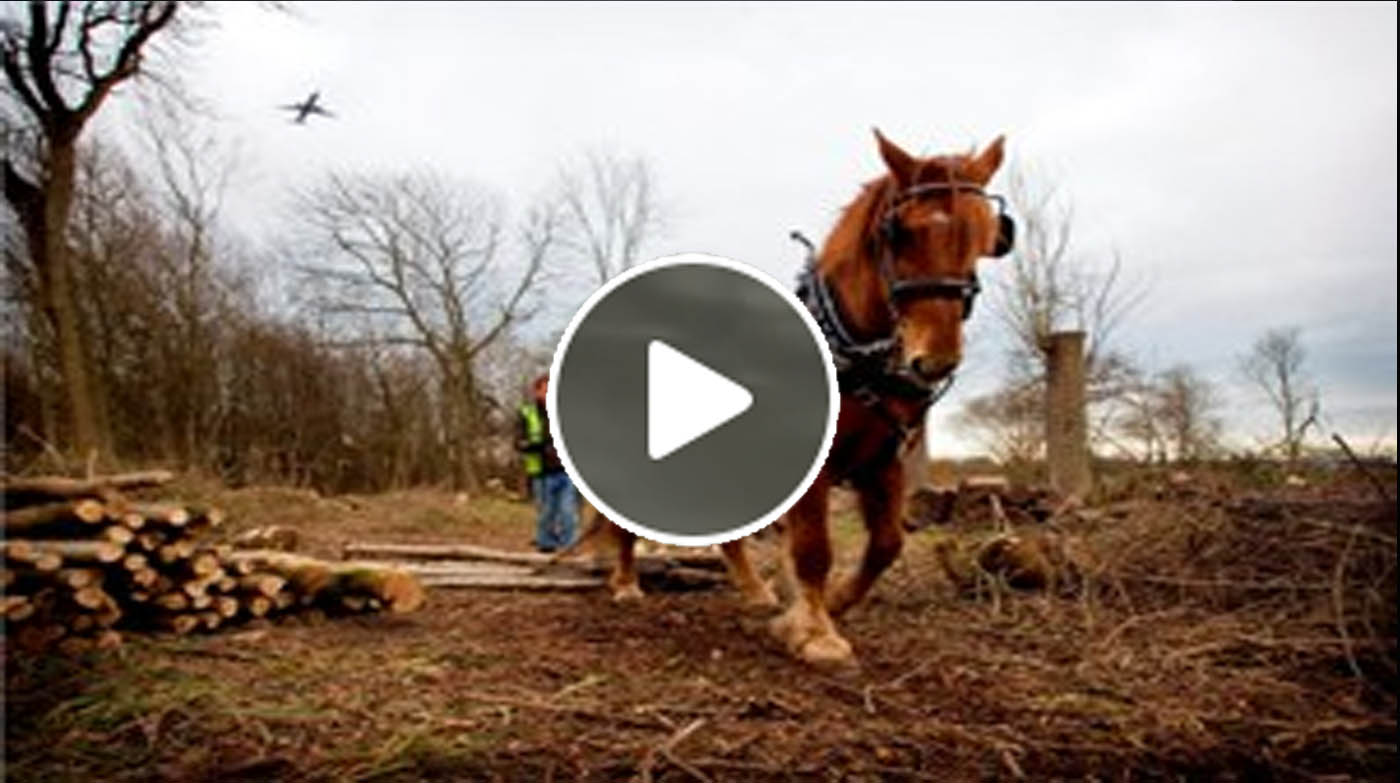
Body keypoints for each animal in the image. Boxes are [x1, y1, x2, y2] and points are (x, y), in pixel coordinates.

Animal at [557, 130, 1008, 666]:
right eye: (902, 233)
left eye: (986, 237)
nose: (934, 360)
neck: (852, 354)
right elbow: (814, 549)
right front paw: (815, 633)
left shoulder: (883, 462)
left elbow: (886, 545)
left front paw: (831, 603)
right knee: (626, 523)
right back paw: (626, 583)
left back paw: (756, 593)